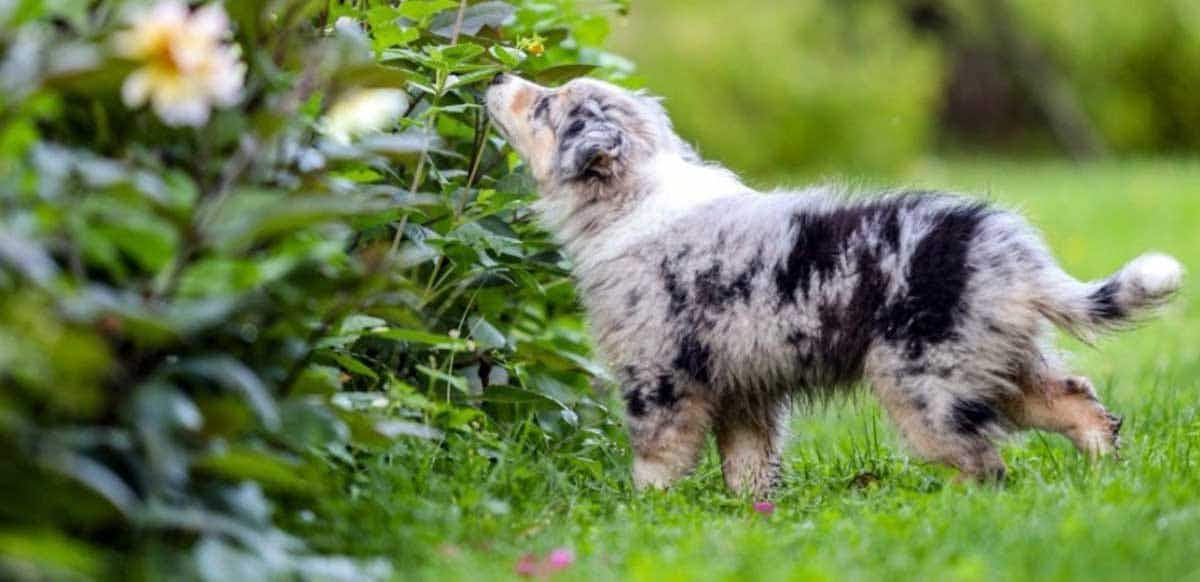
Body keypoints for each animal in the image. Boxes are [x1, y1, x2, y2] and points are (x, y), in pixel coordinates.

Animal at [484, 71, 1180, 489]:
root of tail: (1015, 254)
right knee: (1077, 401)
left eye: (543, 106)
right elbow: (748, 465)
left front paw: (646, 511)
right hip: (996, 360)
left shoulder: (658, 378)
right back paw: (1106, 471)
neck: (632, 197)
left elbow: (656, 459)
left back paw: (954, 506)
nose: (496, 75)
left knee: (982, 460)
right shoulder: (742, 386)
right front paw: (749, 516)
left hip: (922, 381)